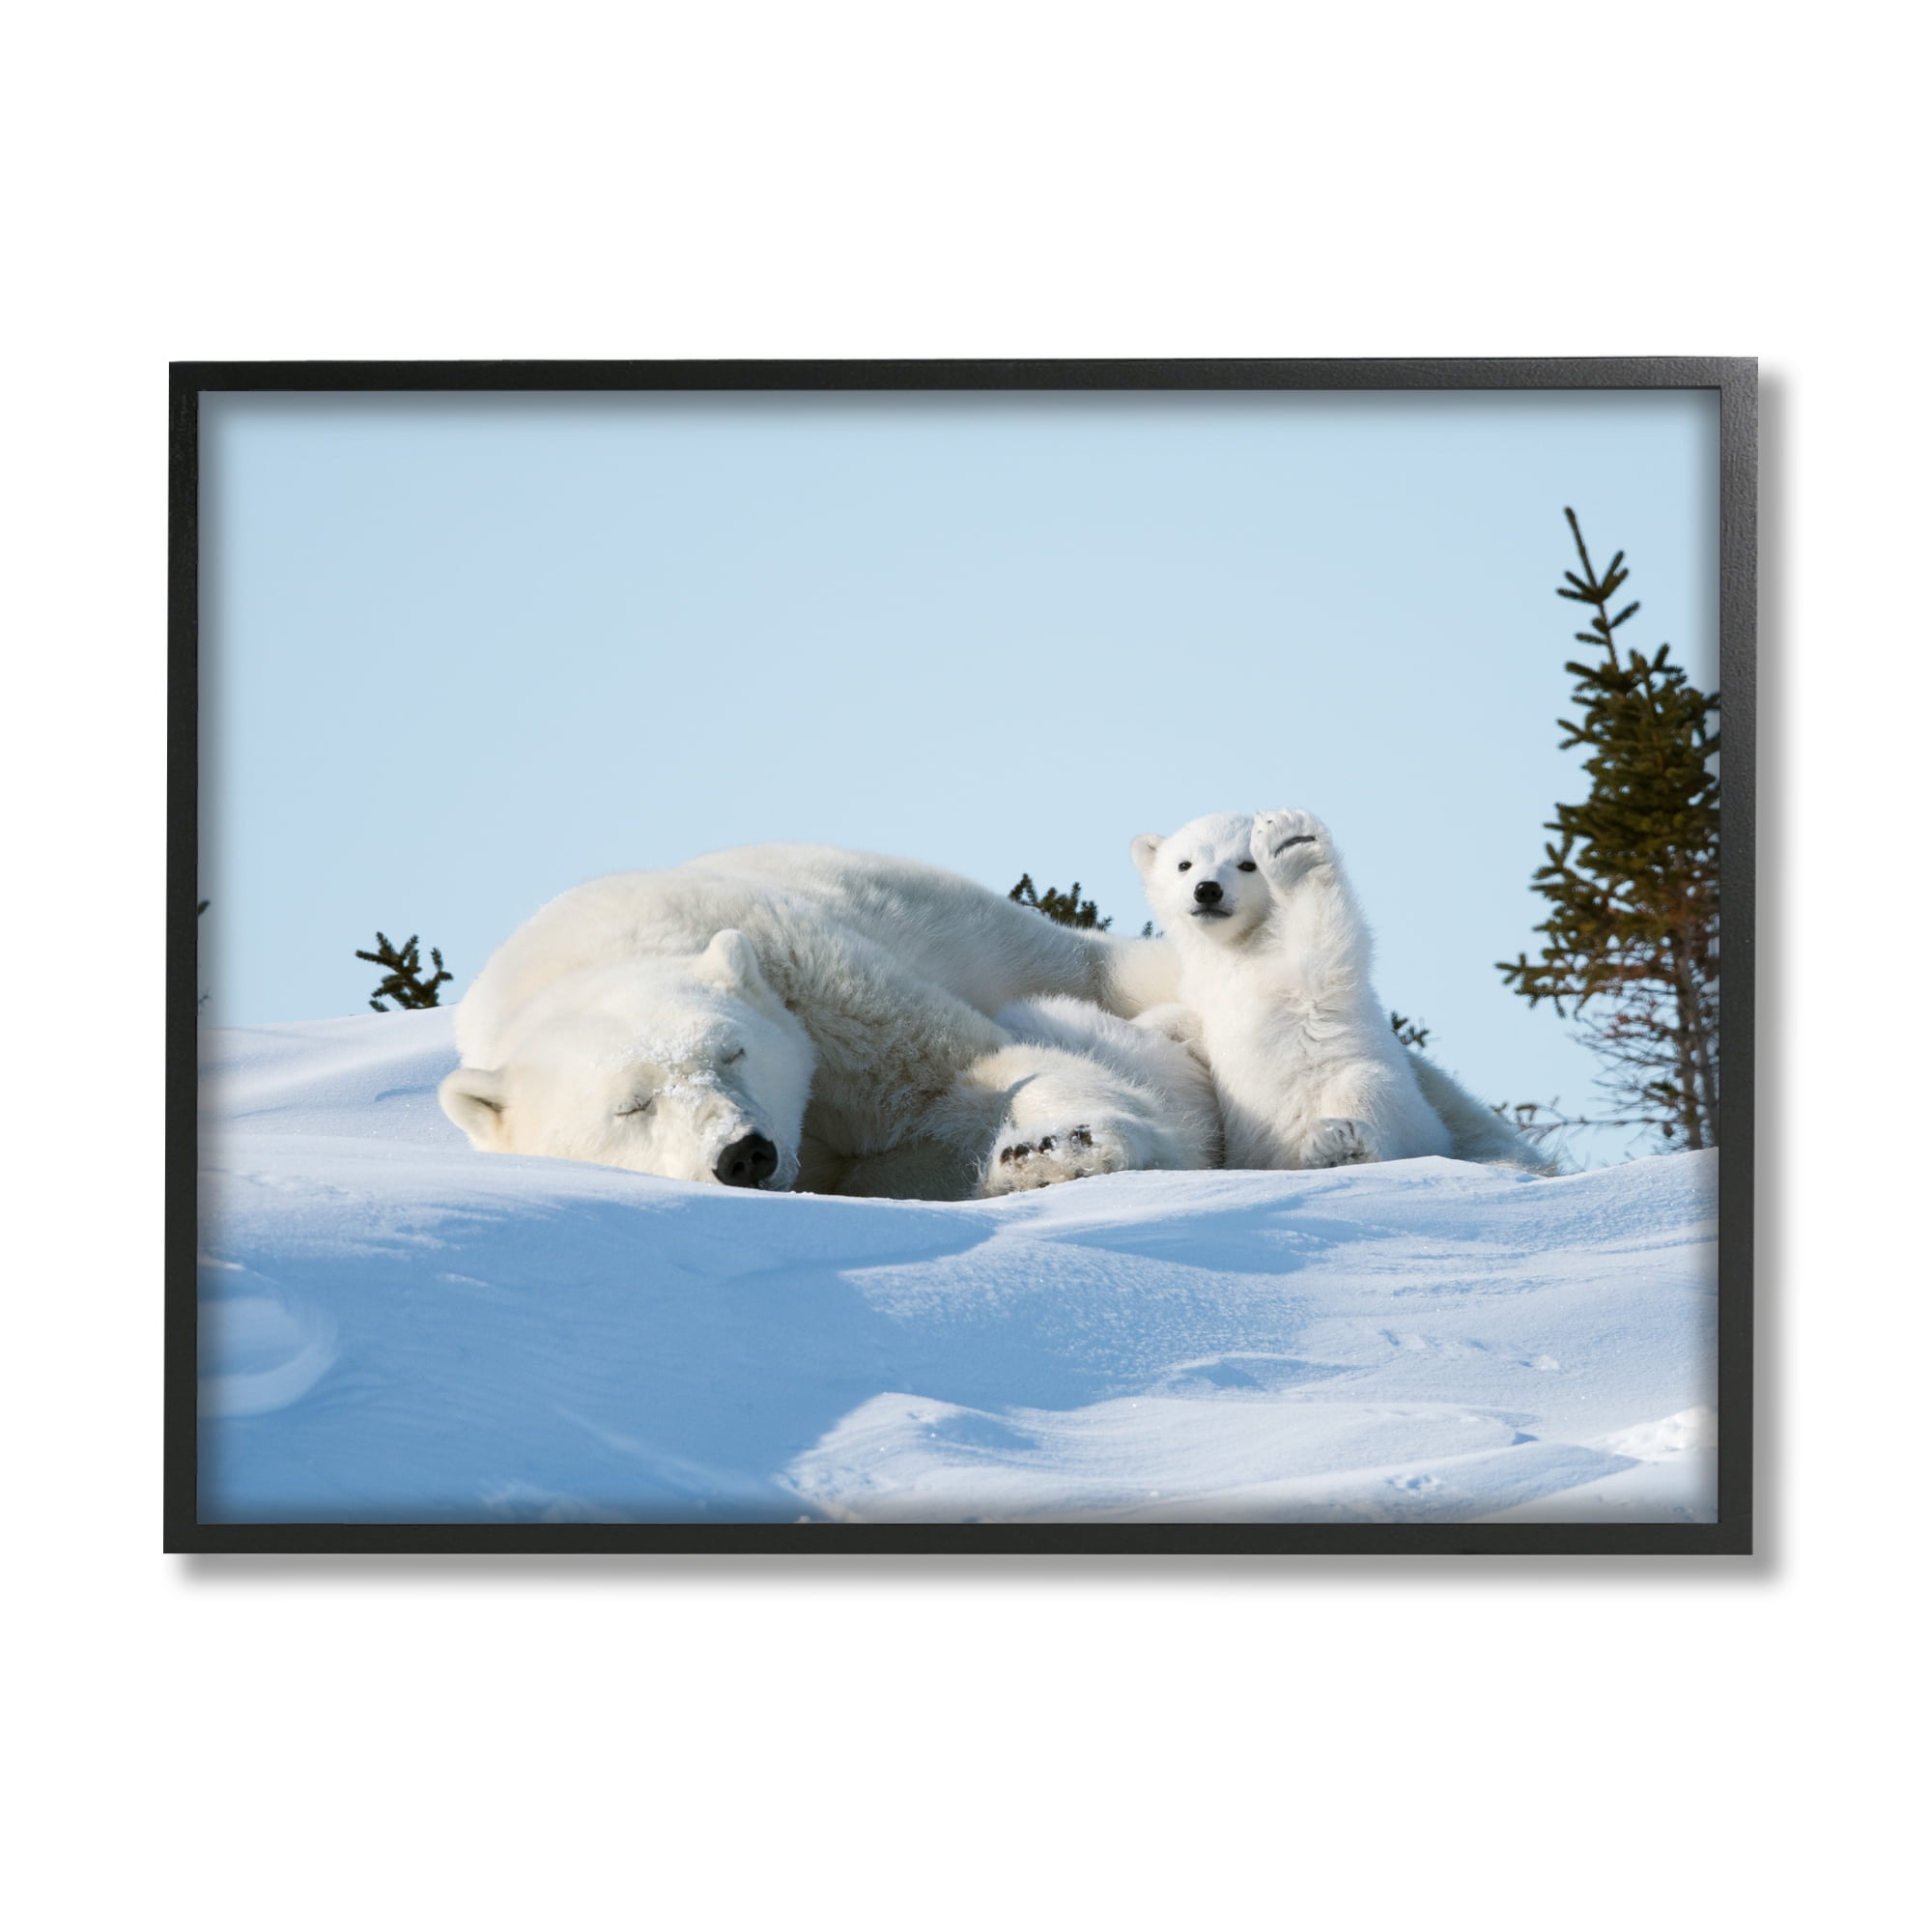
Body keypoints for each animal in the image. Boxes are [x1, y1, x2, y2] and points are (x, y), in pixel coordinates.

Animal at [438, 843, 1214, 1200]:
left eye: (733, 1052)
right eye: (632, 1106)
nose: (743, 1155)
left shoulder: (810, 979)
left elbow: (966, 1070)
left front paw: (1058, 1149)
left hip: (1020, 941)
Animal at [1132, 808, 1553, 1174]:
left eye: (1246, 864)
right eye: (1184, 864)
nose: (1207, 890)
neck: (1238, 949)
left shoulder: (1298, 974)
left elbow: (1323, 942)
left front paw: (1291, 845)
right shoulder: (1204, 991)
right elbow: (1188, 1022)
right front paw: (1147, 1028)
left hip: (1398, 1108)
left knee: (1366, 1090)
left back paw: (1341, 1145)